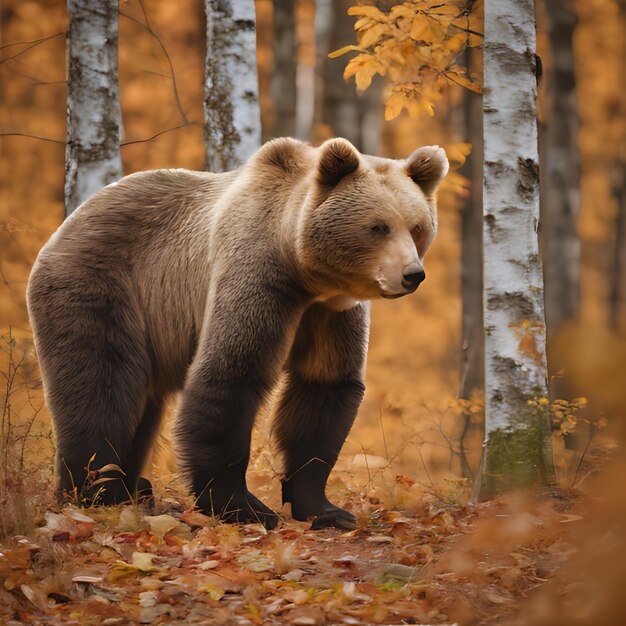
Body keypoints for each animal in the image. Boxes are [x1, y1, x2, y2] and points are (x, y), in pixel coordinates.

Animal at [26, 136, 446, 528]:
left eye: (417, 227)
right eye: (378, 227)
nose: (412, 274)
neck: (303, 272)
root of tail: (65, 226)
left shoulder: (330, 312)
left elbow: (324, 388)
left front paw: (326, 509)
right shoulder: (257, 274)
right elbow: (231, 376)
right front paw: (244, 507)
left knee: (141, 402)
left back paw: (135, 488)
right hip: (101, 286)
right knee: (101, 384)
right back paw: (98, 492)